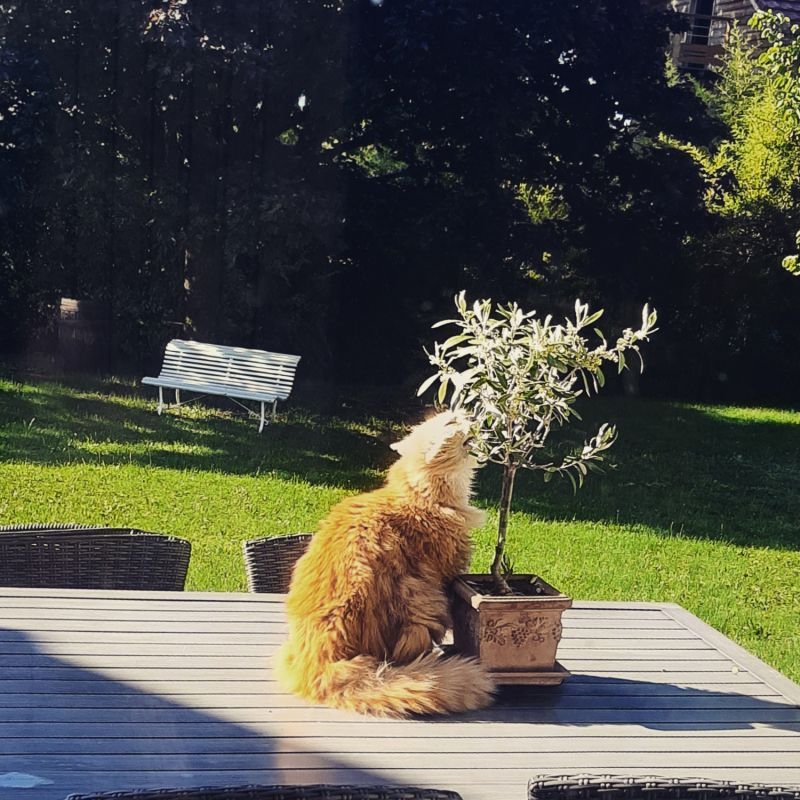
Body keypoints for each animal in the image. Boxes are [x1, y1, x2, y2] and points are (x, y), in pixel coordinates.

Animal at [278, 410, 496, 716]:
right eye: (451, 422)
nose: (466, 412)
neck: (420, 495)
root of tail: (317, 665)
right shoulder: (449, 573)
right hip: (421, 601)